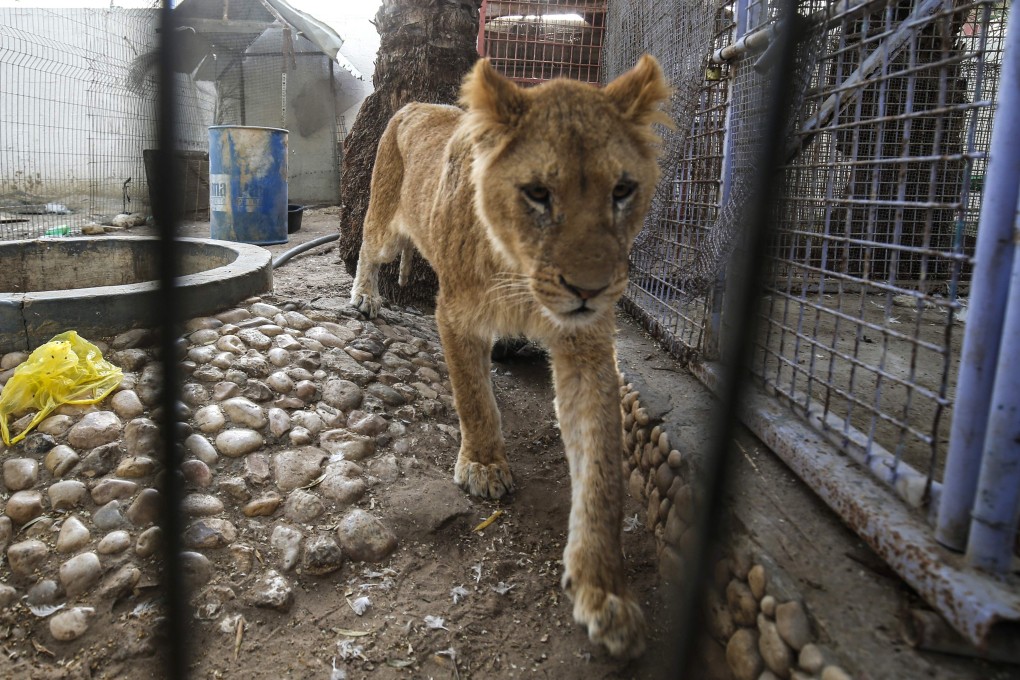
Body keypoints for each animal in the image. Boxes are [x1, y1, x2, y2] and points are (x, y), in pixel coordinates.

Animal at [350, 56, 671, 658]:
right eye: (538, 193)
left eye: (622, 190)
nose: (591, 289)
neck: (522, 274)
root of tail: (413, 103)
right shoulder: (455, 314)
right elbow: (474, 398)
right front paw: (483, 465)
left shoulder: (587, 349)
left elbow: (602, 473)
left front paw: (605, 591)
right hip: (384, 214)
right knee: (367, 243)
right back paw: (364, 297)